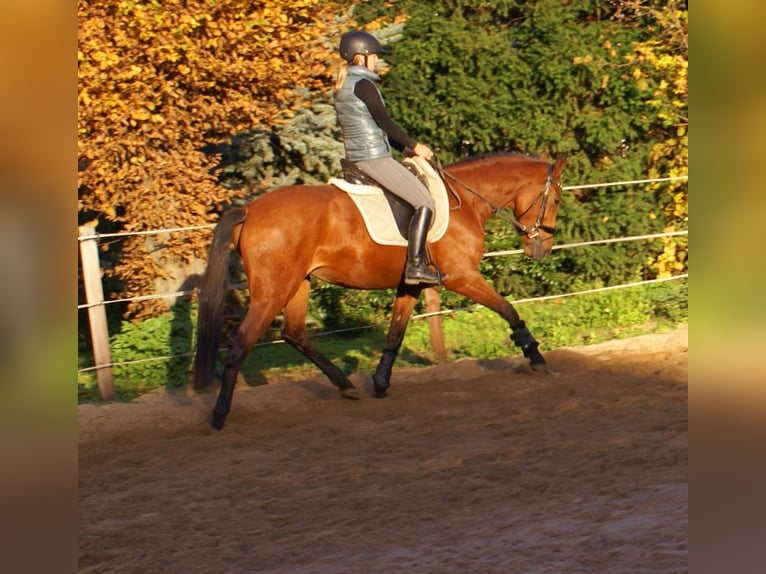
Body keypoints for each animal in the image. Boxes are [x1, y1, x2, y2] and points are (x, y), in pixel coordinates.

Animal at [194, 152, 567, 430]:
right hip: (273, 290)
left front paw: (380, 382)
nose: (542, 249)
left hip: (298, 283)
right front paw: (536, 357)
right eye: (556, 198)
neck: (464, 202)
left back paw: (345, 385)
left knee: (295, 333)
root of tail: (249, 209)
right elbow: (509, 310)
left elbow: (395, 333)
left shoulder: (411, 283)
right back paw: (220, 414)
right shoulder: (462, 277)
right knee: (241, 343)